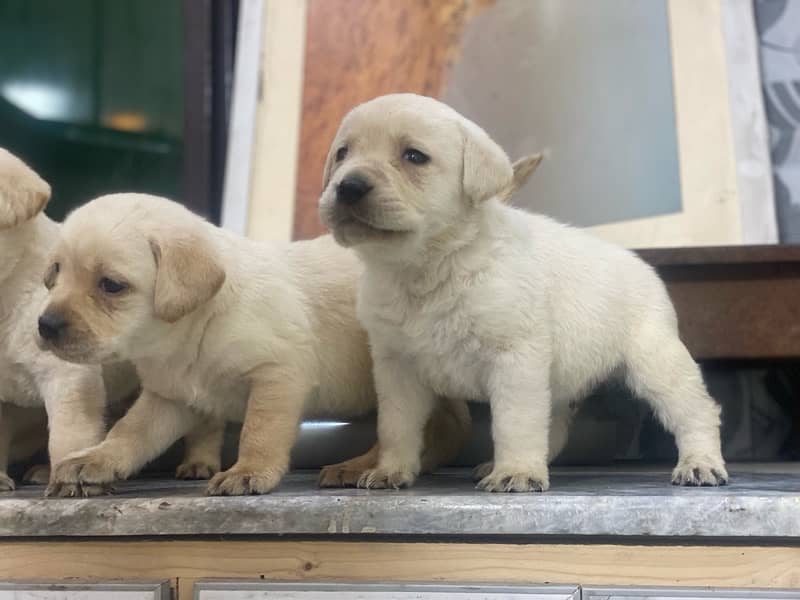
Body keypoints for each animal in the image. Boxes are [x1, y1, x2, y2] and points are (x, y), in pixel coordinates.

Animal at [40, 193, 468, 496]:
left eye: (111, 285)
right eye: (55, 273)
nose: (44, 326)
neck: (191, 331)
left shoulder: (278, 376)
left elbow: (259, 432)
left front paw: (249, 472)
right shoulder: (169, 397)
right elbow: (129, 432)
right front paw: (95, 459)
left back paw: (360, 466)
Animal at [318, 91, 724, 490]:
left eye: (414, 156)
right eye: (342, 153)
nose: (348, 187)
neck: (428, 266)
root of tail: (644, 267)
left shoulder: (515, 358)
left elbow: (514, 422)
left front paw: (516, 471)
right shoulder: (396, 367)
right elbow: (396, 426)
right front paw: (390, 470)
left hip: (657, 363)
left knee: (697, 412)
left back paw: (701, 463)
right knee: (555, 430)